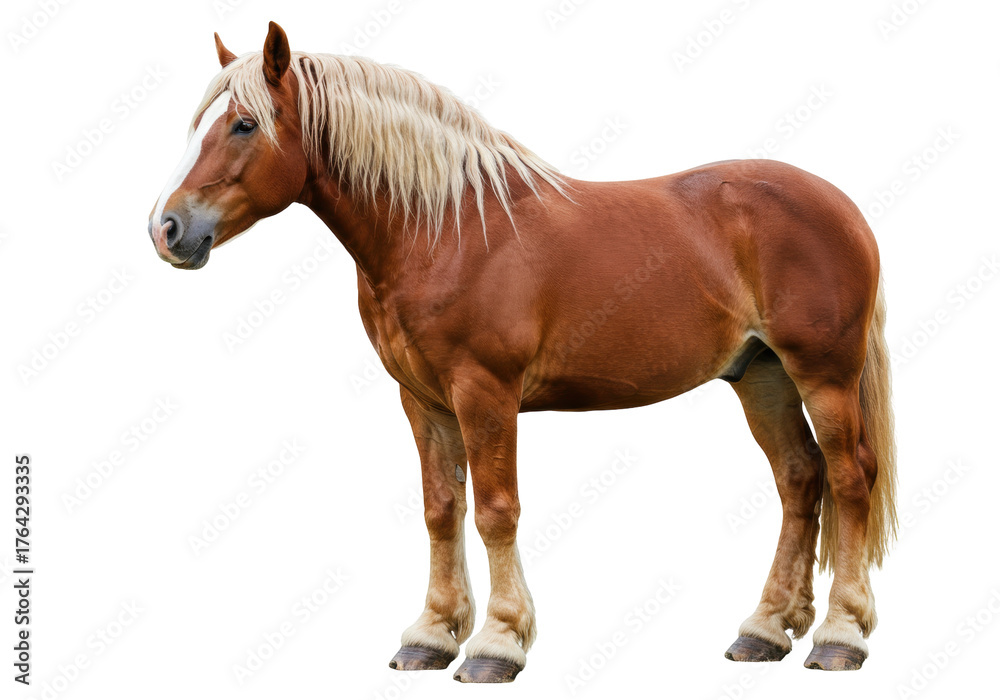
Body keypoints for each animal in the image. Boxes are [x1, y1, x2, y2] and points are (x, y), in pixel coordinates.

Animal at [148, 22, 897, 683]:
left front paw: (497, 644)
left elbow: (495, 509)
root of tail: (843, 207)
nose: (166, 228)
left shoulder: (485, 392)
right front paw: (430, 636)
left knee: (850, 478)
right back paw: (766, 630)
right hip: (760, 376)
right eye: (199, 123)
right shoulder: (423, 400)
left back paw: (839, 636)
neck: (445, 229)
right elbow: (440, 510)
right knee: (800, 479)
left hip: (824, 375)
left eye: (244, 124)